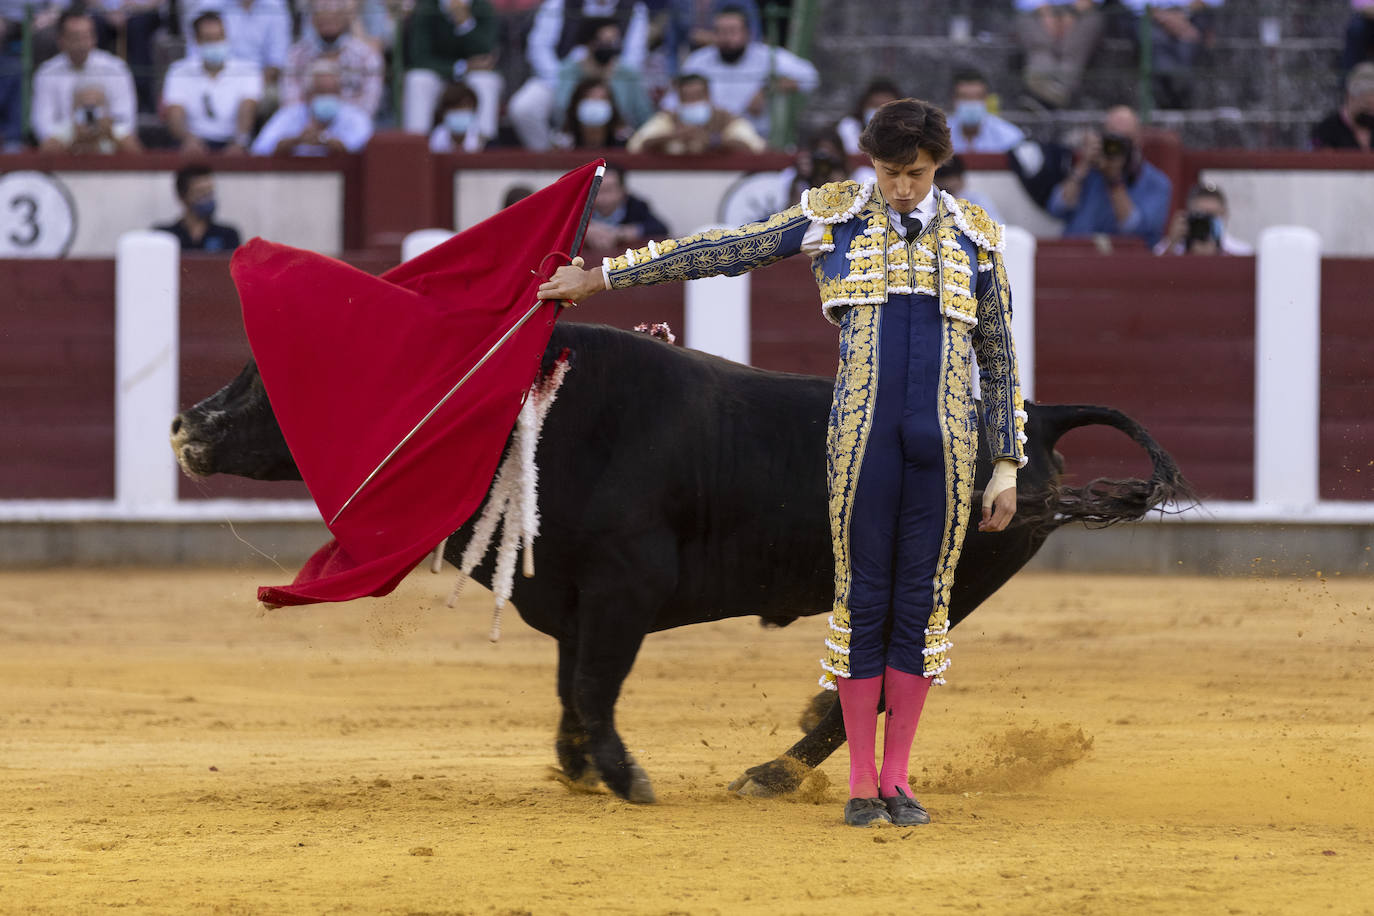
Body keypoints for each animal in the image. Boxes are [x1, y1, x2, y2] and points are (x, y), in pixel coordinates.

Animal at [169, 321, 1181, 802]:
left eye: (282, 380)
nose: (185, 427)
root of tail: (1034, 417)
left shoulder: (624, 589)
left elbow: (593, 685)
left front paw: (621, 777)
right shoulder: (571, 599)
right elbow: (572, 686)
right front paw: (577, 765)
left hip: (935, 585)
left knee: (883, 686)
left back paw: (773, 775)